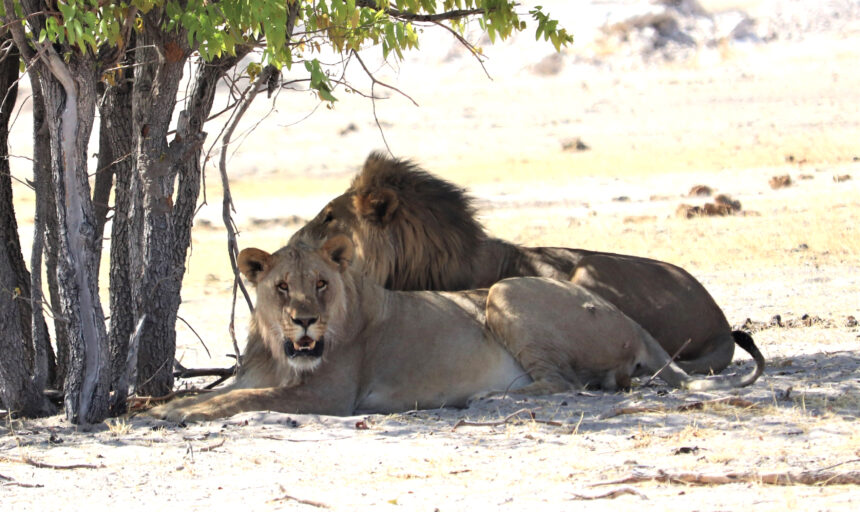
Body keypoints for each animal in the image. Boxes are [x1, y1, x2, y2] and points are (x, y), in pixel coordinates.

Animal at [148, 236, 761, 422]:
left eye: (320, 284)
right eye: (282, 287)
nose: (305, 318)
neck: (281, 351)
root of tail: (629, 316)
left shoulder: (329, 396)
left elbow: (244, 400)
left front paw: (179, 415)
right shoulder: (258, 373)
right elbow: (223, 391)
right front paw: (160, 408)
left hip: (506, 290)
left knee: (564, 384)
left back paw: (487, 397)